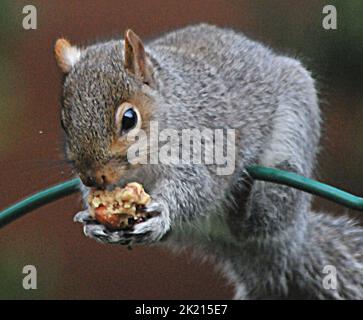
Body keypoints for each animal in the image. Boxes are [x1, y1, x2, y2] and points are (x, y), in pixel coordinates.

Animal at [54, 23, 363, 298]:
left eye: (129, 119)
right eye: (64, 122)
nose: (92, 177)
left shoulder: (203, 146)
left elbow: (198, 188)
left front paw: (162, 210)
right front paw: (91, 219)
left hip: (295, 127)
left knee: (272, 215)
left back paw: (257, 199)